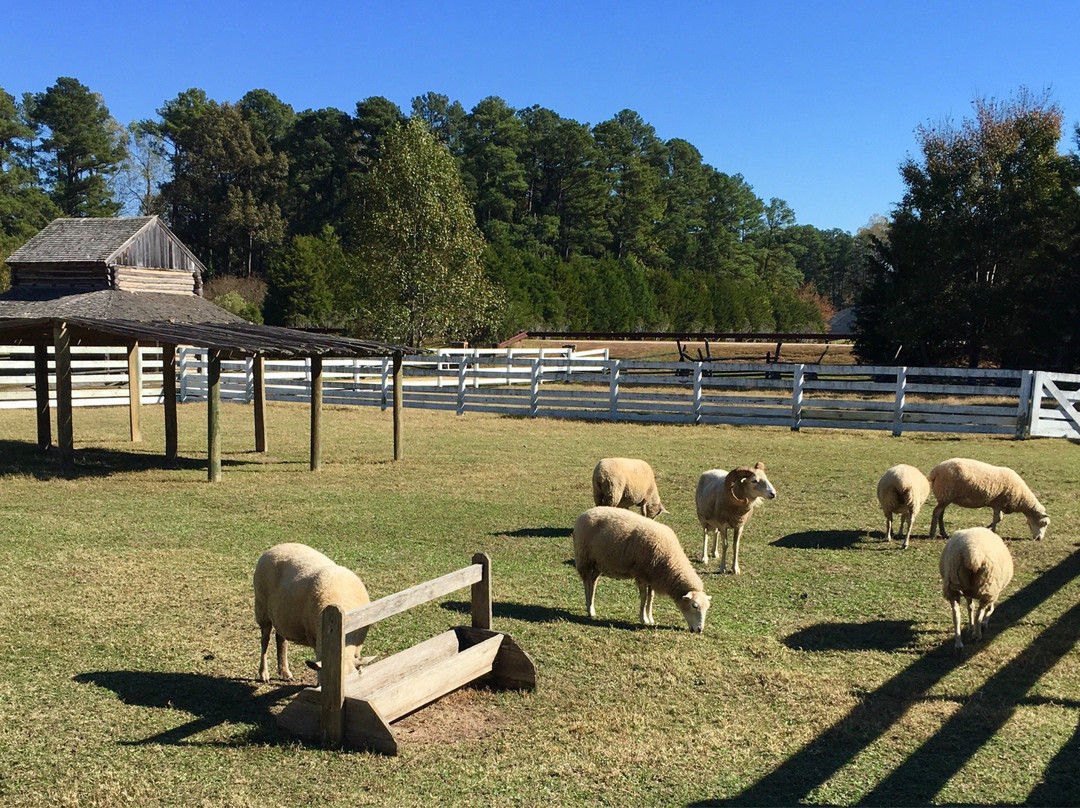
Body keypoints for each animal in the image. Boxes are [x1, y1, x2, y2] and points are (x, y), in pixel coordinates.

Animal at [252, 542, 371, 682]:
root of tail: (276, 546)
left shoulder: (358, 646)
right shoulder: (315, 638)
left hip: (281, 614)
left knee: (280, 638)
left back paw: (285, 672)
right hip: (262, 608)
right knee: (264, 641)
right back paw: (263, 674)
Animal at [570, 505, 712, 630]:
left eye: (707, 608)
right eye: (694, 606)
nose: (699, 630)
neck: (670, 562)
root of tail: (585, 513)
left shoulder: (652, 576)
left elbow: (650, 597)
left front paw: (650, 618)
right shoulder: (641, 574)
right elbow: (644, 597)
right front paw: (643, 618)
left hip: (598, 563)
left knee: (593, 583)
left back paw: (592, 608)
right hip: (584, 559)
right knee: (586, 583)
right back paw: (589, 608)